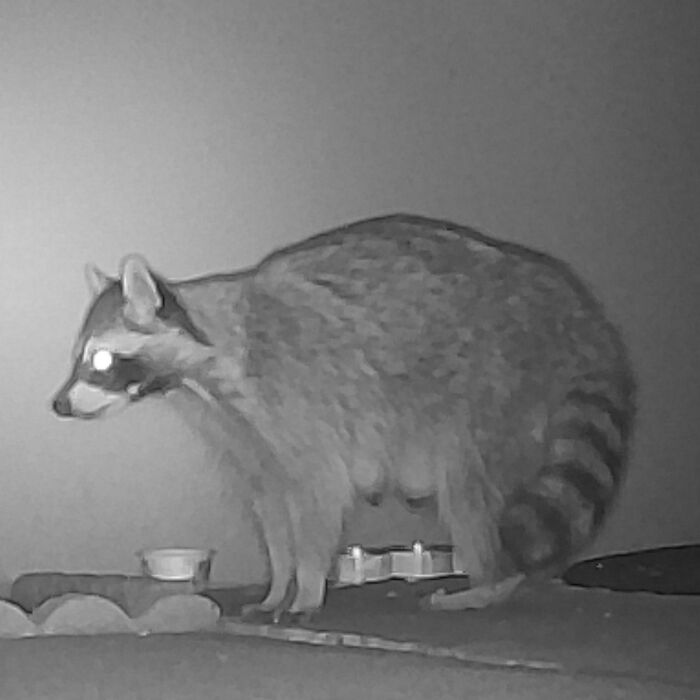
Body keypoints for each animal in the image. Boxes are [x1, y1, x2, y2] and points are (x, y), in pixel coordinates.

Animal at [52, 214, 635, 616]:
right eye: (78, 356)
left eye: (100, 360)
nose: (58, 405)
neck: (200, 372)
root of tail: (578, 314)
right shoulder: (241, 431)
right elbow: (271, 508)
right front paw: (278, 582)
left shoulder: (300, 398)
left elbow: (319, 495)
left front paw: (307, 586)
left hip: (499, 382)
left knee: (473, 490)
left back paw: (491, 583)